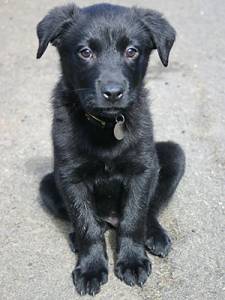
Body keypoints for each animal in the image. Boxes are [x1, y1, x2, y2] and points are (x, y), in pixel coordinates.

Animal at [36, 2, 185, 296]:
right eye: (85, 52)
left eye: (132, 51)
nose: (113, 92)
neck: (106, 125)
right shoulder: (70, 176)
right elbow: (87, 226)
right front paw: (91, 268)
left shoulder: (143, 170)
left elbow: (134, 218)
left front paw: (132, 261)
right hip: (47, 184)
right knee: (92, 222)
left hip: (173, 156)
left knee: (149, 209)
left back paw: (155, 235)